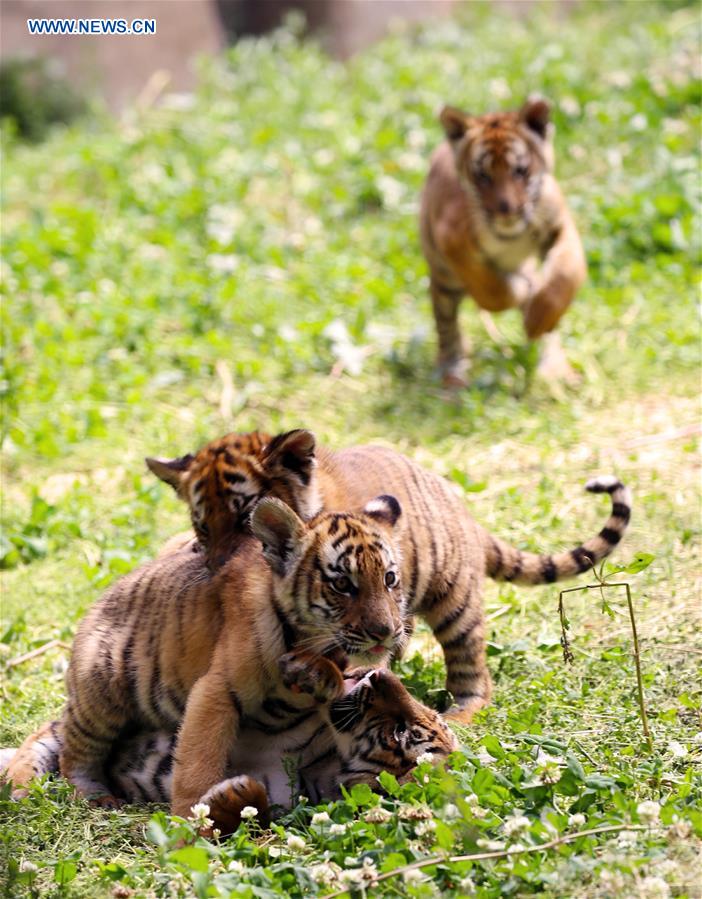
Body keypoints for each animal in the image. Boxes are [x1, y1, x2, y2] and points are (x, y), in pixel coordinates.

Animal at [2, 659, 456, 832]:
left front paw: (233, 795)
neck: (321, 762)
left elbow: (255, 805)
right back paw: (21, 788)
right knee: (37, 746)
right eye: (412, 721)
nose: (380, 674)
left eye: (400, 732)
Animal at [153, 430, 632, 728]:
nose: (219, 571)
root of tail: (465, 513)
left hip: (455, 602)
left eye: (244, 518)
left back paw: (458, 713)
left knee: (472, 674)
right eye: (203, 527)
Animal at [420, 96, 587, 387]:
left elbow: (566, 273)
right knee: (446, 324)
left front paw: (538, 317)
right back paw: (451, 372)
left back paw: (555, 367)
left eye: (520, 170)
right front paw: (520, 290)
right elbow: (492, 292)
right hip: (443, 279)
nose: (506, 209)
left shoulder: (559, 226)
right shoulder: (452, 239)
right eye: (482, 176)